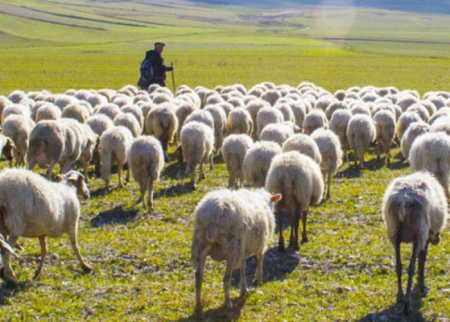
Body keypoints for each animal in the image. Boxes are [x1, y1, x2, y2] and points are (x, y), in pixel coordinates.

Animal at [382, 172, 448, 314]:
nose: (437, 240)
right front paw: (421, 285)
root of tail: (404, 200)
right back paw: (408, 303)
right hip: (419, 231)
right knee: (411, 267)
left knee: (398, 265)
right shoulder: (425, 236)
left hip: (394, 232)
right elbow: (422, 259)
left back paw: (400, 296)